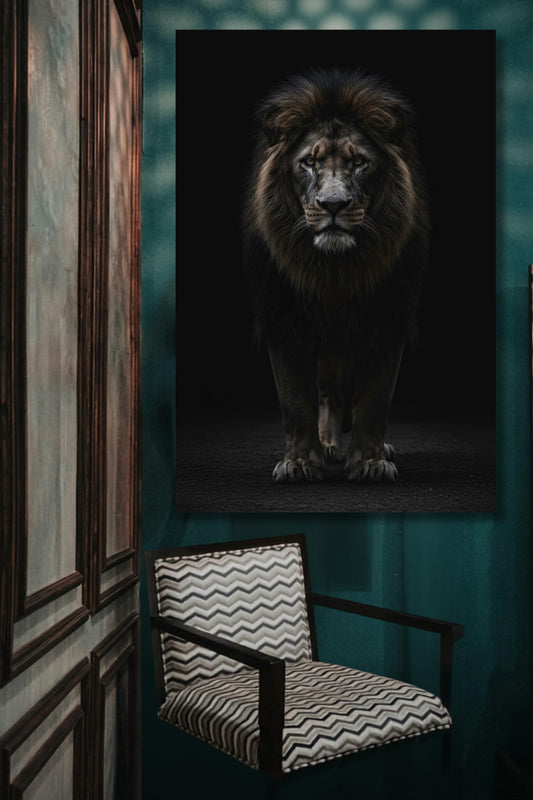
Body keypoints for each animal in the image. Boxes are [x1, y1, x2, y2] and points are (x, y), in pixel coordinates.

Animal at [242, 69, 429, 483]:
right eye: (309, 163)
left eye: (359, 162)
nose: (333, 205)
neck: (336, 271)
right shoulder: (283, 319)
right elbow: (295, 403)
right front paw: (299, 463)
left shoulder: (387, 321)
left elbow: (375, 401)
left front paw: (370, 462)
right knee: (329, 393)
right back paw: (328, 446)